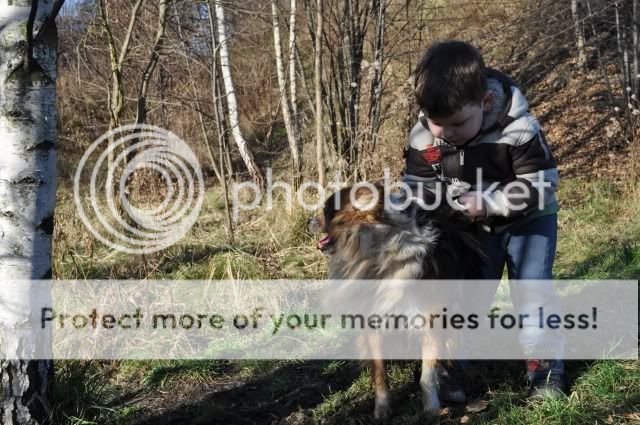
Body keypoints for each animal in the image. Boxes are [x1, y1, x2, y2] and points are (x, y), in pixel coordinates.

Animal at [308, 184, 484, 420]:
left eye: (326, 211)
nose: (308, 221)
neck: (378, 251)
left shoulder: (432, 320)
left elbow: (427, 375)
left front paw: (431, 409)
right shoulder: (372, 321)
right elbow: (379, 371)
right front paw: (382, 409)